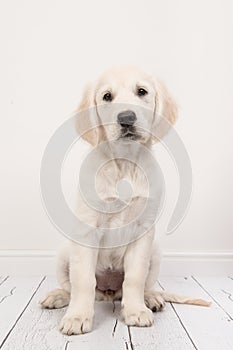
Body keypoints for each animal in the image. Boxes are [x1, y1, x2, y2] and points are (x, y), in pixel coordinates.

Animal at [39, 66, 210, 336]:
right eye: (107, 96)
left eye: (142, 91)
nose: (127, 118)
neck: (124, 162)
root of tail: (108, 293)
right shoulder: (87, 230)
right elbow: (83, 279)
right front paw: (78, 316)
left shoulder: (143, 232)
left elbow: (135, 278)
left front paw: (135, 310)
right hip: (64, 252)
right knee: (71, 286)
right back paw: (58, 297)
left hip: (155, 252)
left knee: (143, 285)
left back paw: (151, 298)